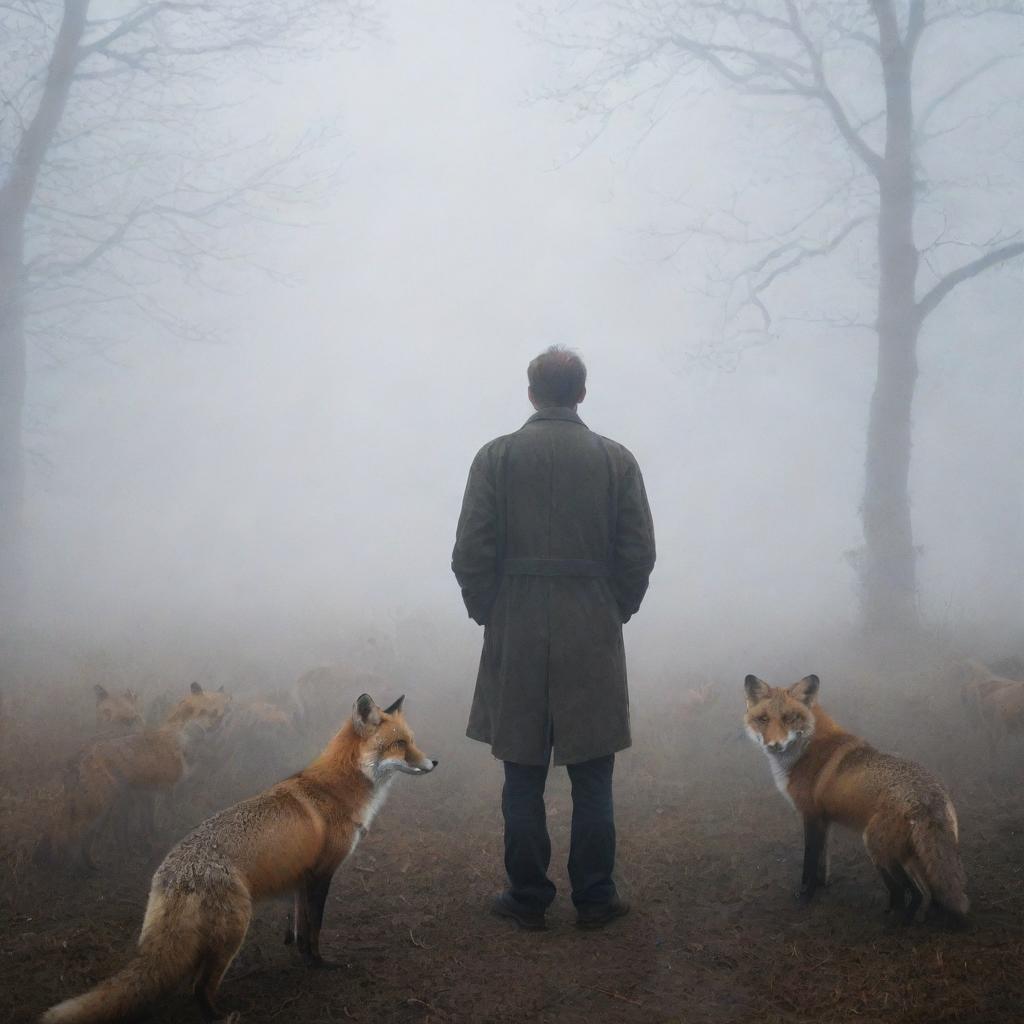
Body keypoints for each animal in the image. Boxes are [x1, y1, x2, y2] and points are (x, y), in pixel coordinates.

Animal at [37, 684, 231, 868]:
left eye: (224, 710)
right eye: (211, 712)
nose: (219, 726)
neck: (180, 737)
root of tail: (79, 756)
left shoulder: (145, 795)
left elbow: (145, 826)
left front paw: (144, 846)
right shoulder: (165, 791)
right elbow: (164, 820)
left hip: (103, 807)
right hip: (99, 808)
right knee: (72, 837)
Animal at [745, 671, 966, 929]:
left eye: (790, 718)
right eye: (763, 719)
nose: (774, 745)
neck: (805, 750)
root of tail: (929, 793)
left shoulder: (810, 816)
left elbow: (809, 862)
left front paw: (804, 897)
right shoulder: (824, 821)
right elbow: (822, 863)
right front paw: (821, 887)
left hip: (877, 846)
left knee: (911, 893)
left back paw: (896, 924)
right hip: (907, 855)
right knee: (927, 893)